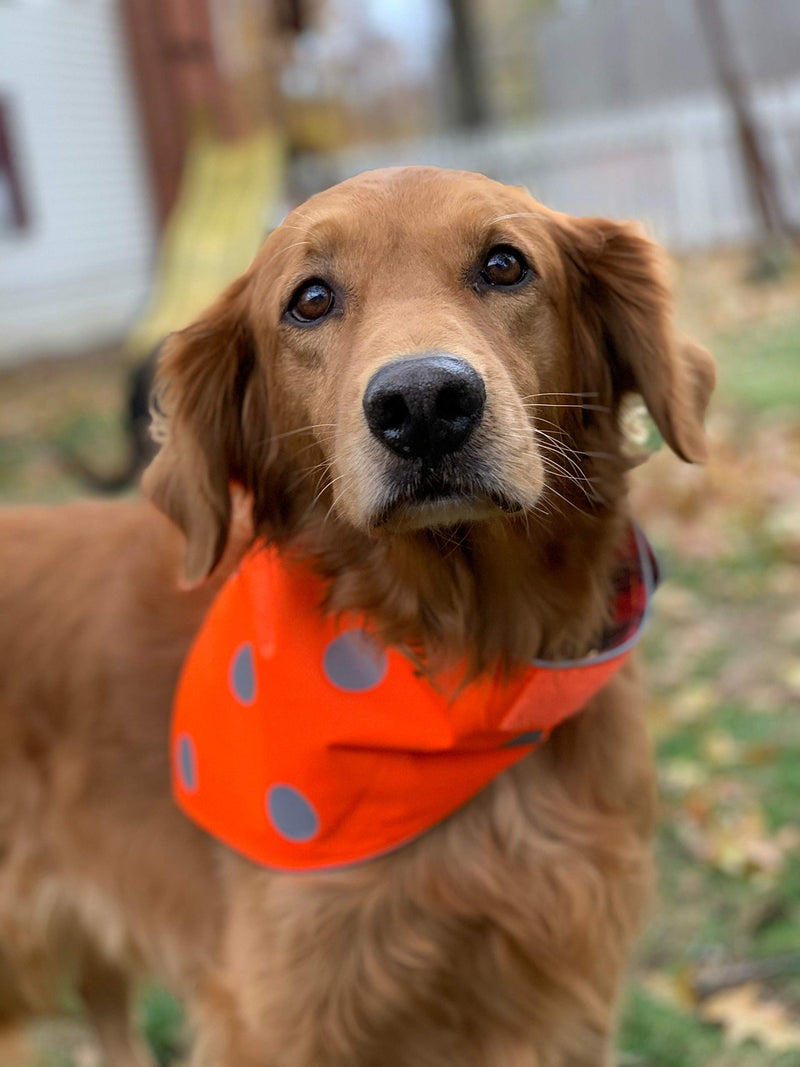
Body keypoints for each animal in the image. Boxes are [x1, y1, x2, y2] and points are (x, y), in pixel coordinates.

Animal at [0, 164, 712, 1058]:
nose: (424, 402)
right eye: (311, 298)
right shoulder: (280, 1018)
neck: (459, 665)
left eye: (505, 264)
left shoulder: (563, 991)